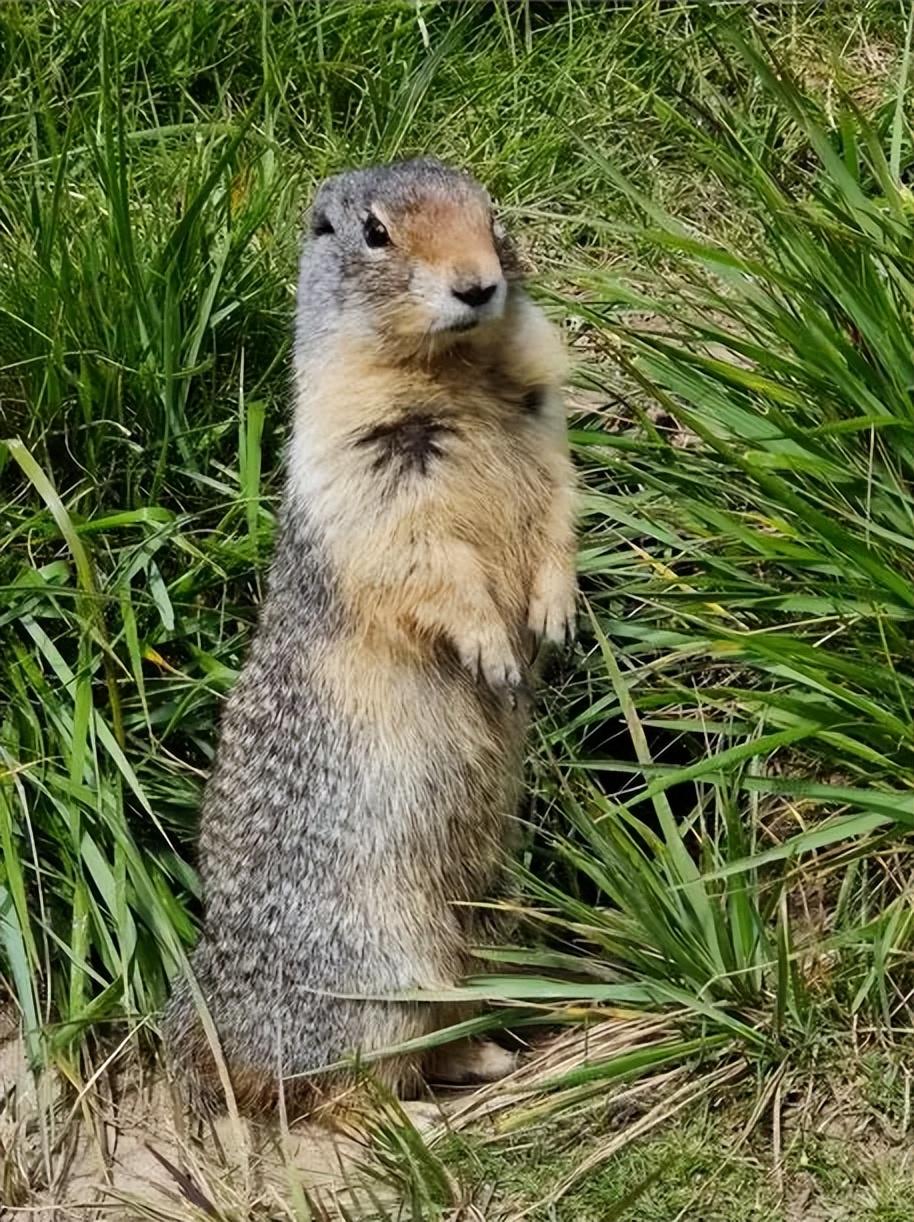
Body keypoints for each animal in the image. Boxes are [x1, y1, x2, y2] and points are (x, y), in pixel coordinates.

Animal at [162, 160, 579, 1119]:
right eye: (374, 233)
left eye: (491, 215)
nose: (478, 284)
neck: (455, 374)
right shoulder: (364, 465)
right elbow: (424, 561)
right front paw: (494, 650)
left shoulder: (548, 427)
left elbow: (559, 514)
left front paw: (552, 614)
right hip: (380, 969)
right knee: (351, 1087)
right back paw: (433, 1104)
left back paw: (484, 1055)